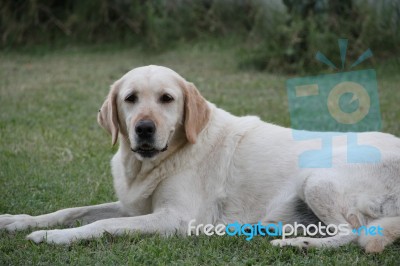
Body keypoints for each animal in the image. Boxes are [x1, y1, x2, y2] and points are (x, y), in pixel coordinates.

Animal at [0, 65, 400, 252]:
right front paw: (20, 221)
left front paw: (52, 237)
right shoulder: (134, 206)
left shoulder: (174, 219)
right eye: (130, 98)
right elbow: (72, 210)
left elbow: (100, 225)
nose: (144, 129)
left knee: (353, 233)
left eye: (167, 98)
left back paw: (295, 244)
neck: (153, 163)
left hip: (314, 178)